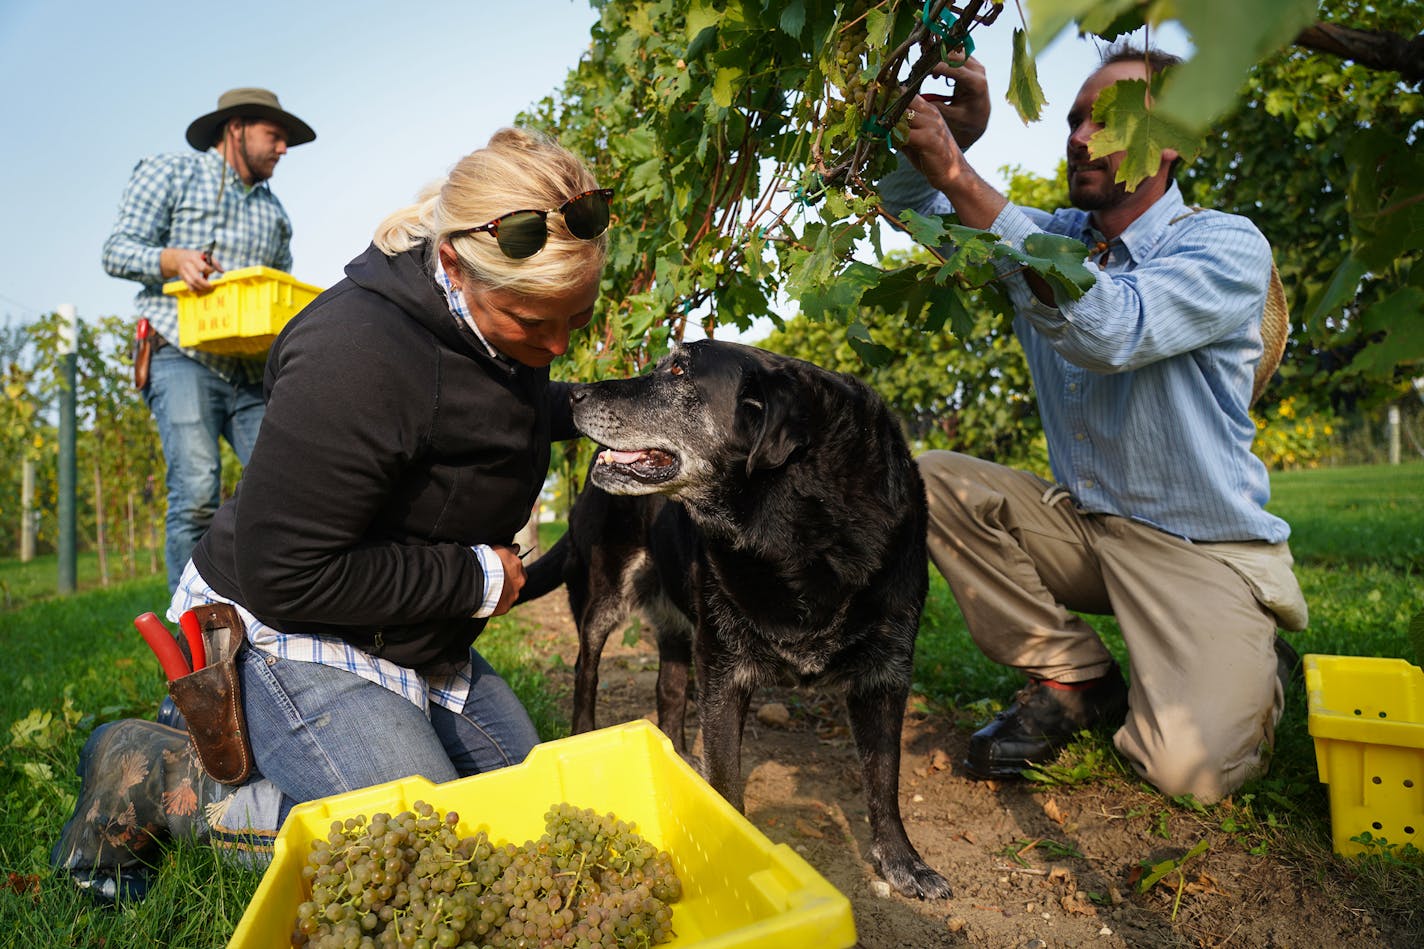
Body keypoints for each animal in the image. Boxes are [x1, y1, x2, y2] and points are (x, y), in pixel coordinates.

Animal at [524, 337, 945, 894]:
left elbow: (885, 777)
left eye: (679, 371)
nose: (573, 395)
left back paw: (678, 758)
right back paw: (585, 728)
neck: (796, 538)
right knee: (585, 668)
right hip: (605, 598)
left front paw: (904, 861)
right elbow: (726, 780)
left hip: (679, 626)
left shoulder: (885, 675)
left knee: (670, 690)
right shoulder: (724, 669)